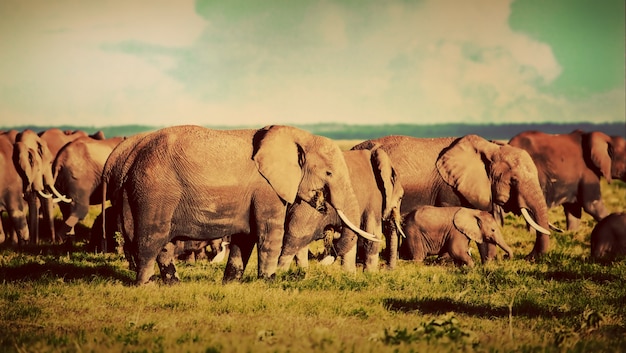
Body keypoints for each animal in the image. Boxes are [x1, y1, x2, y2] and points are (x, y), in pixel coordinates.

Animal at [102, 125, 378, 284]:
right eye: (329, 173)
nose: (322, 207)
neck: (298, 135)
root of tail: (129, 158)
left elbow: (245, 237)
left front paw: (232, 283)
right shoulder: (267, 189)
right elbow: (268, 233)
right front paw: (269, 282)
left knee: (164, 243)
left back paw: (173, 283)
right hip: (155, 191)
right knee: (152, 237)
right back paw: (145, 285)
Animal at [354, 133, 548, 260]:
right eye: (514, 180)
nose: (530, 257)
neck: (490, 147)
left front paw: (489, 263)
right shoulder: (449, 188)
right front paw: (446, 261)